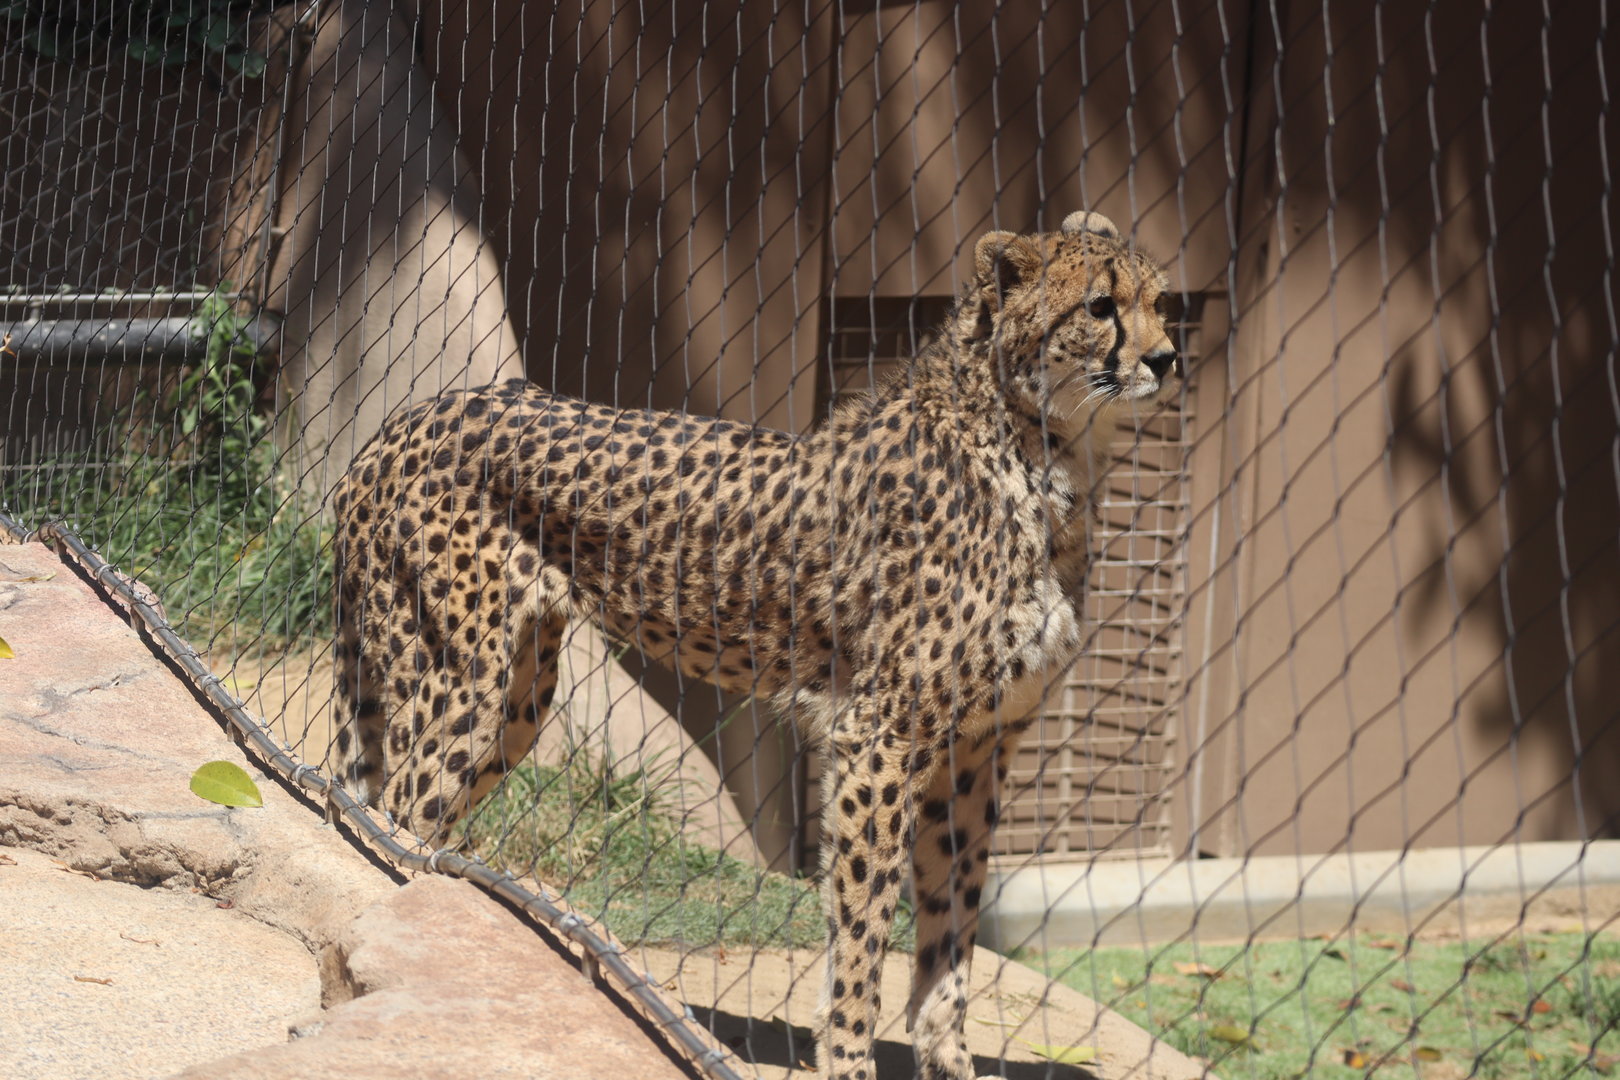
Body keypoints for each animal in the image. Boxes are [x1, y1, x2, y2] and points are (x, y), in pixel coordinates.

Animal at [330, 210, 1181, 1080]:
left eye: (1159, 302)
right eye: (1101, 306)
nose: (1165, 359)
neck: (1040, 449)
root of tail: (407, 420)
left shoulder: (977, 749)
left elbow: (952, 927)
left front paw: (947, 1062)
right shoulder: (882, 738)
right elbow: (864, 930)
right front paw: (849, 1061)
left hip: (518, 697)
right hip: (462, 679)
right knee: (397, 816)